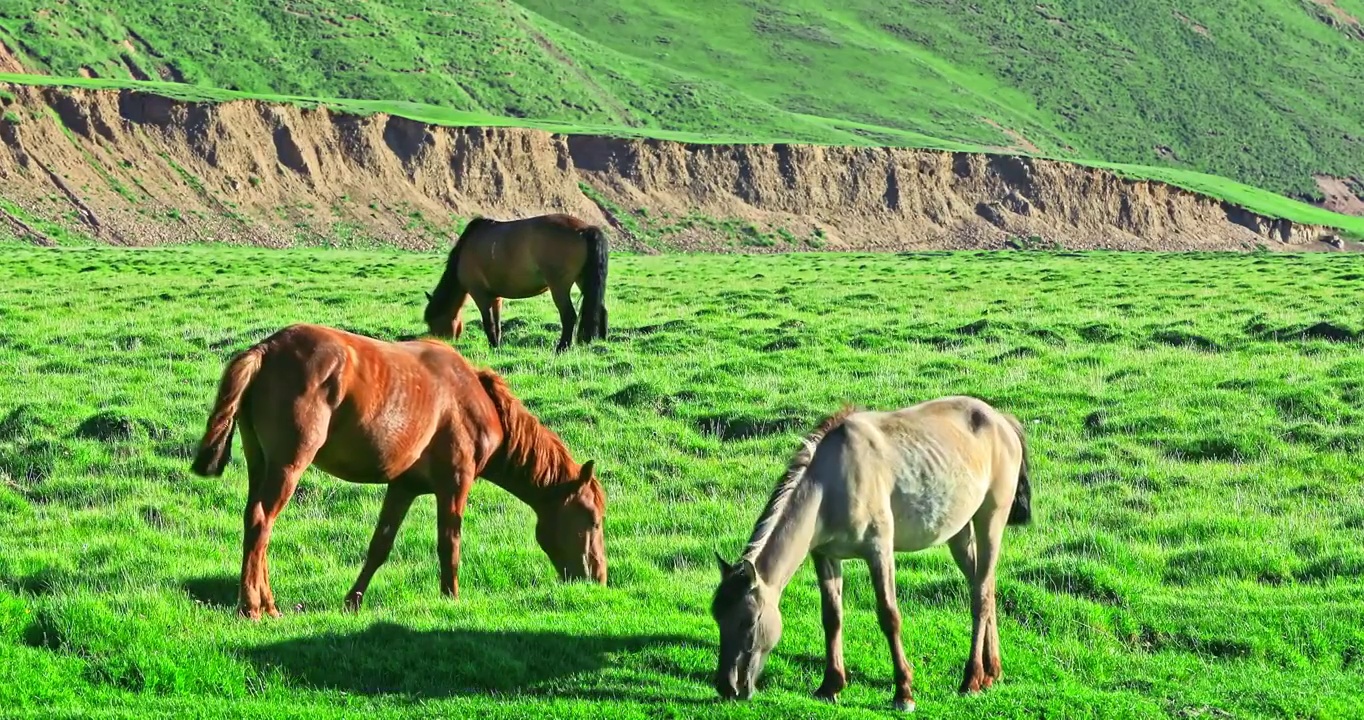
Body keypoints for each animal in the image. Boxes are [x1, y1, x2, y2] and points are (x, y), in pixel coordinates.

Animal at [188, 321, 608, 619]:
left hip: (260, 464)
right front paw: (451, 598)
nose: (599, 578)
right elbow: (449, 543)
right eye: (592, 520)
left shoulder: (403, 487)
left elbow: (380, 545)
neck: (472, 398)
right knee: (262, 522)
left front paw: (353, 601)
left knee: (253, 523)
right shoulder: (455, 483)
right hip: (288, 466)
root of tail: (265, 349)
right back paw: (254, 607)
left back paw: (266, 602)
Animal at [422, 214, 611, 354]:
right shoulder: (496, 298)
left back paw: (561, 348)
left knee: (569, 316)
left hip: (559, 286)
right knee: (600, 309)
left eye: (433, 324)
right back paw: (600, 342)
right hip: (583, 279)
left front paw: (493, 346)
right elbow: (497, 323)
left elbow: (488, 323)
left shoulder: (480, 294)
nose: (434, 345)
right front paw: (497, 346)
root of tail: (585, 229)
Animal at [714, 395, 1031, 709]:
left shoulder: (879, 551)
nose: (727, 686)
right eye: (718, 617)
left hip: (990, 519)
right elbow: (832, 617)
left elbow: (889, 616)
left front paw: (903, 692)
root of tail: (1003, 421)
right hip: (960, 532)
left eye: (749, 621)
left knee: (981, 597)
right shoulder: (826, 556)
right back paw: (992, 672)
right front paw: (830, 685)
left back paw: (972, 679)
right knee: (985, 585)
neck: (829, 487)